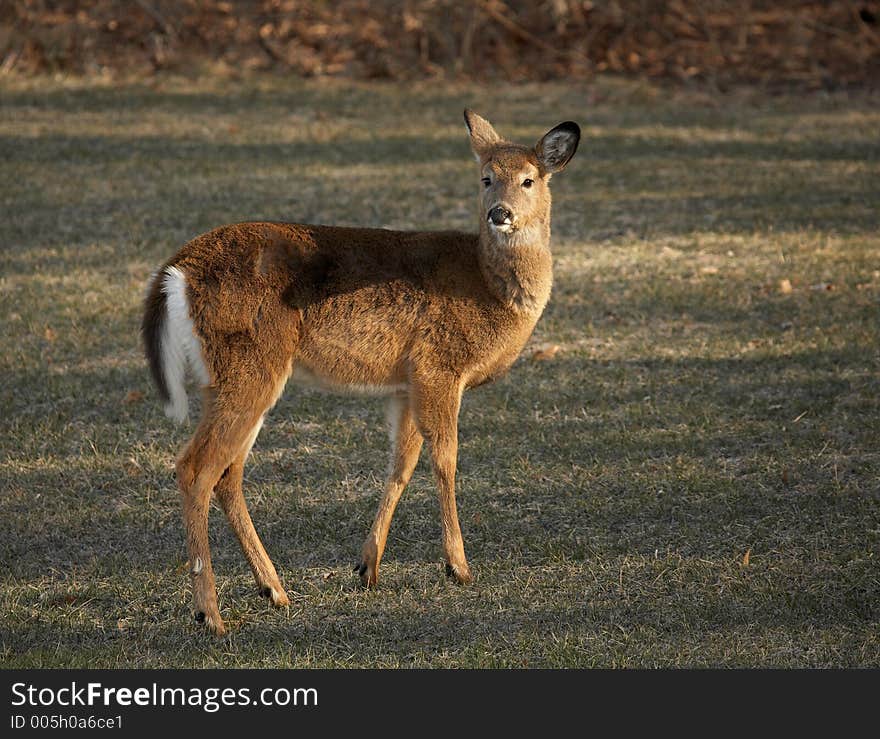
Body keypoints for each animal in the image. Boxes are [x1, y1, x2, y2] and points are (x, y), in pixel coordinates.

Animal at [142, 110, 580, 636]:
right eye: (486, 177)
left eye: (529, 179)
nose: (500, 213)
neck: (489, 288)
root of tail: (176, 270)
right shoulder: (438, 364)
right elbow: (446, 459)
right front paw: (458, 566)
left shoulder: (405, 382)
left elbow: (401, 463)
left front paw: (367, 565)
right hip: (250, 364)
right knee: (196, 467)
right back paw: (210, 613)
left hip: (231, 376)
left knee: (228, 472)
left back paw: (275, 590)